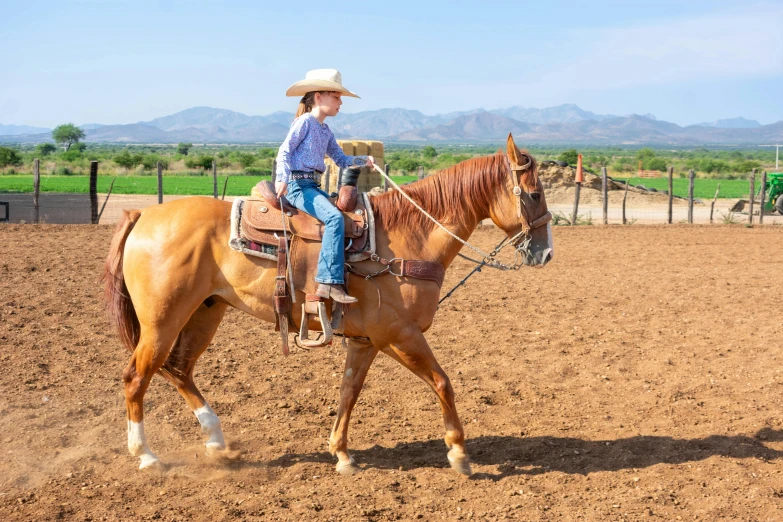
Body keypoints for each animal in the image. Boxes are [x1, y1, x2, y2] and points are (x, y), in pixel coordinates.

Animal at [104, 132, 556, 474]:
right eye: (534, 194)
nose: (546, 253)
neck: (408, 237)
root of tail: (143, 216)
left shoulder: (365, 341)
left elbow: (348, 391)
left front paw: (341, 454)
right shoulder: (399, 334)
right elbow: (443, 382)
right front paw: (459, 453)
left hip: (204, 313)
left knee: (179, 369)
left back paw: (216, 440)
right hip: (163, 320)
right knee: (136, 377)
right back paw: (146, 456)